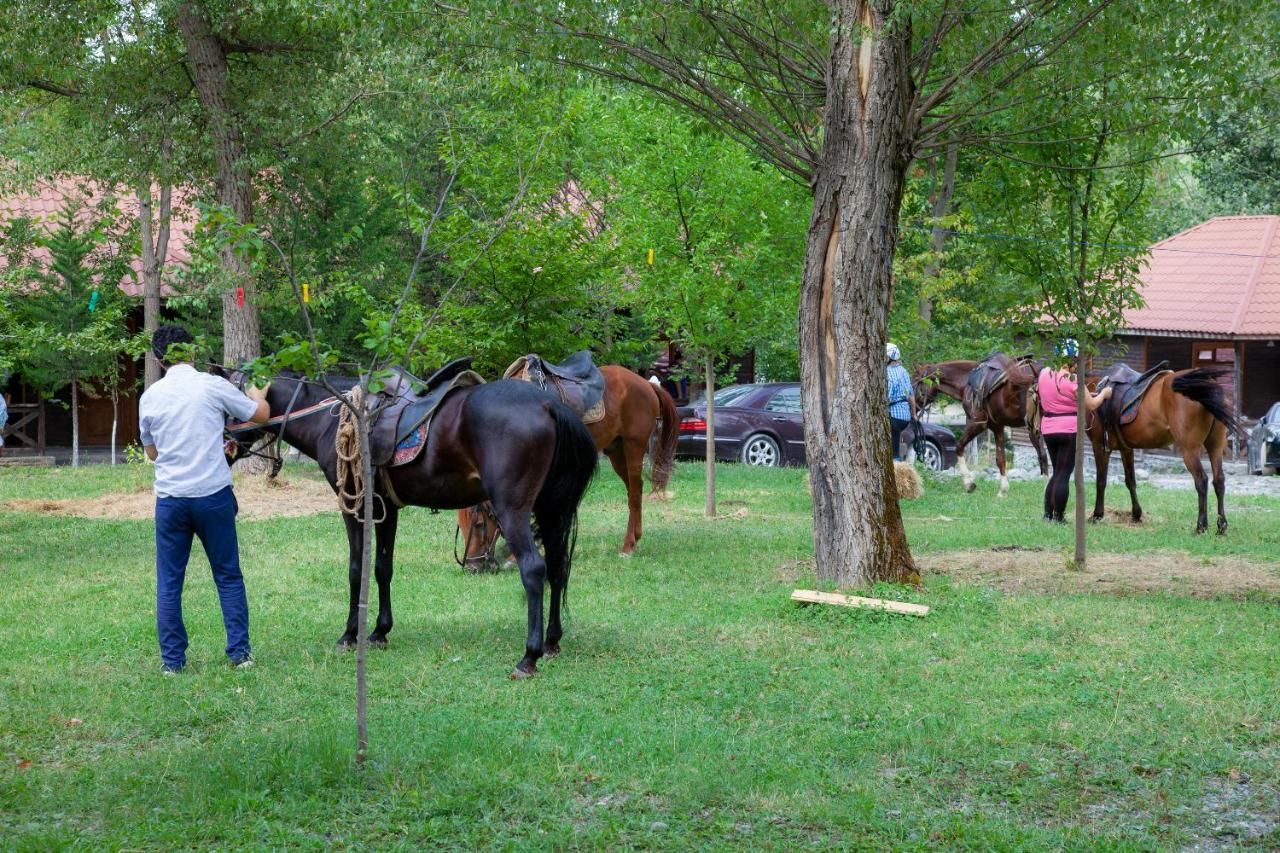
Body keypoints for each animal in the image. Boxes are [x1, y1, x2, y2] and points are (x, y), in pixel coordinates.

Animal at [458, 361, 680, 560]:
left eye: (478, 523)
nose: (472, 566)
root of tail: (646, 384)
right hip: (616, 451)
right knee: (635, 490)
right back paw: (636, 537)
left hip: (634, 446)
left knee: (634, 493)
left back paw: (628, 546)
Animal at [916, 353, 1044, 499]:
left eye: (916, 380)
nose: (912, 403)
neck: (966, 382)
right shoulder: (997, 426)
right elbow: (1001, 459)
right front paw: (1003, 491)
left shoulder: (977, 423)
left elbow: (959, 447)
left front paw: (969, 484)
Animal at [1085, 363, 1244, 532]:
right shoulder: (1126, 449)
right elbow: (1130, 481)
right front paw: (1136, 515)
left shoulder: (1099, 446)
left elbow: (1101, 481)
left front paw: (1097, 515)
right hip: (1215, 447)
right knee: (1219, 480)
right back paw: (1222, 526)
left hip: (1190, 450)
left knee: (1201, 480)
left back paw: (1201, 526)